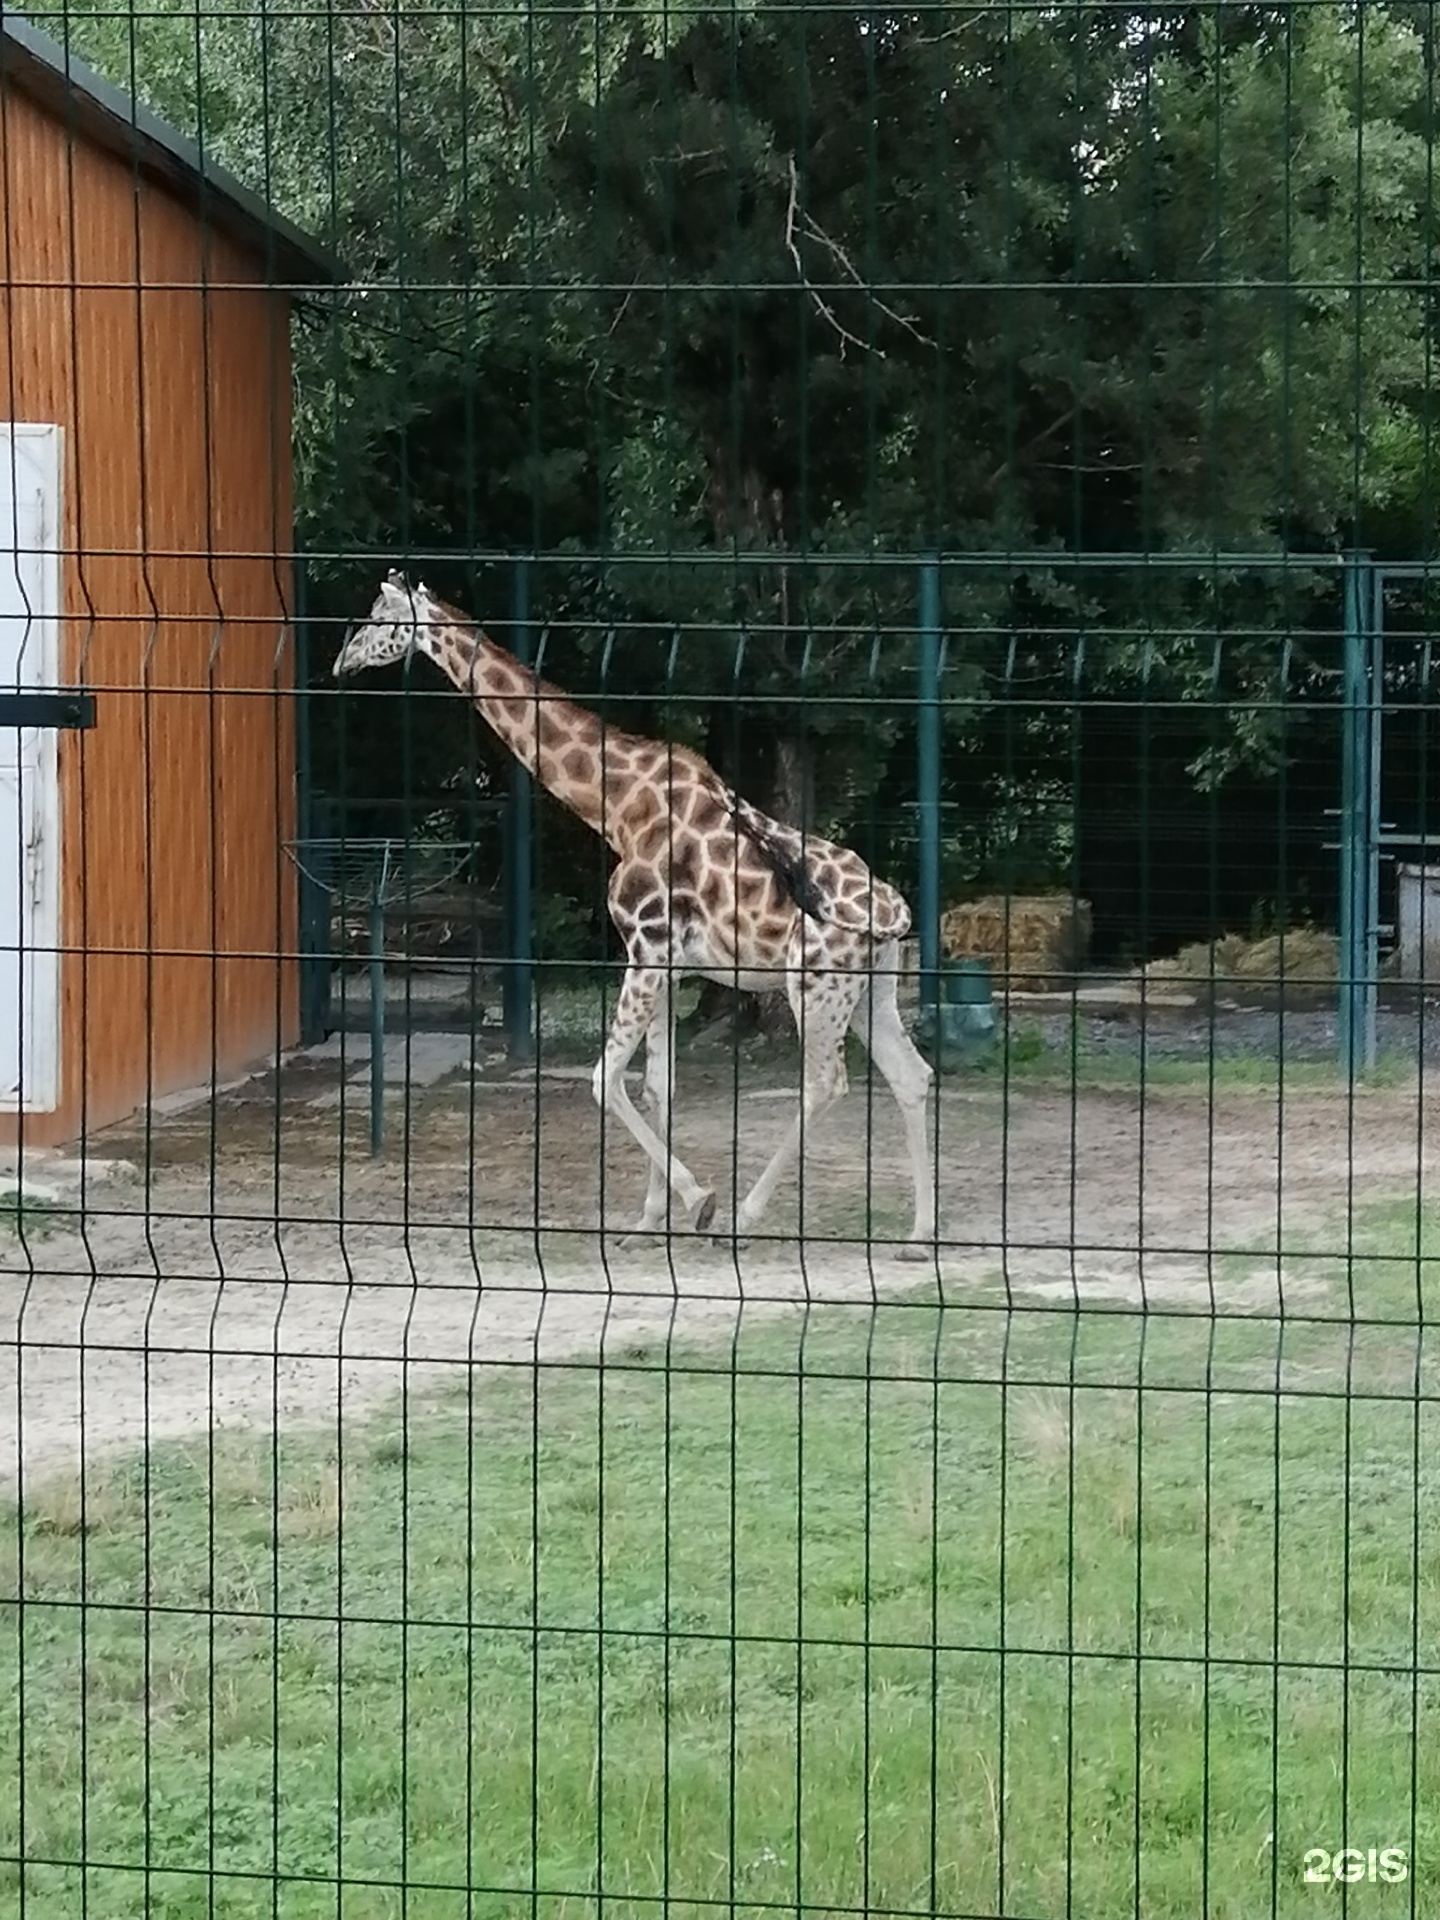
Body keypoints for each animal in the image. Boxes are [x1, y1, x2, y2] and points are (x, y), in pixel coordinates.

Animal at [334, 568, 940, 1259]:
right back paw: (920, 1234)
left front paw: (700, 1202)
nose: (341, 660)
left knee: (826, 1083)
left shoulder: (645, 949)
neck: (620, 806)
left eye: (379, 619)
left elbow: (605, 1080)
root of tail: (898, 914)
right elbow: (657, 1086)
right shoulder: (668, 964)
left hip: (815, 988)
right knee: (911, 1074)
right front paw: (650, 1219)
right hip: (871, 989)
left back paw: (744, 1217)